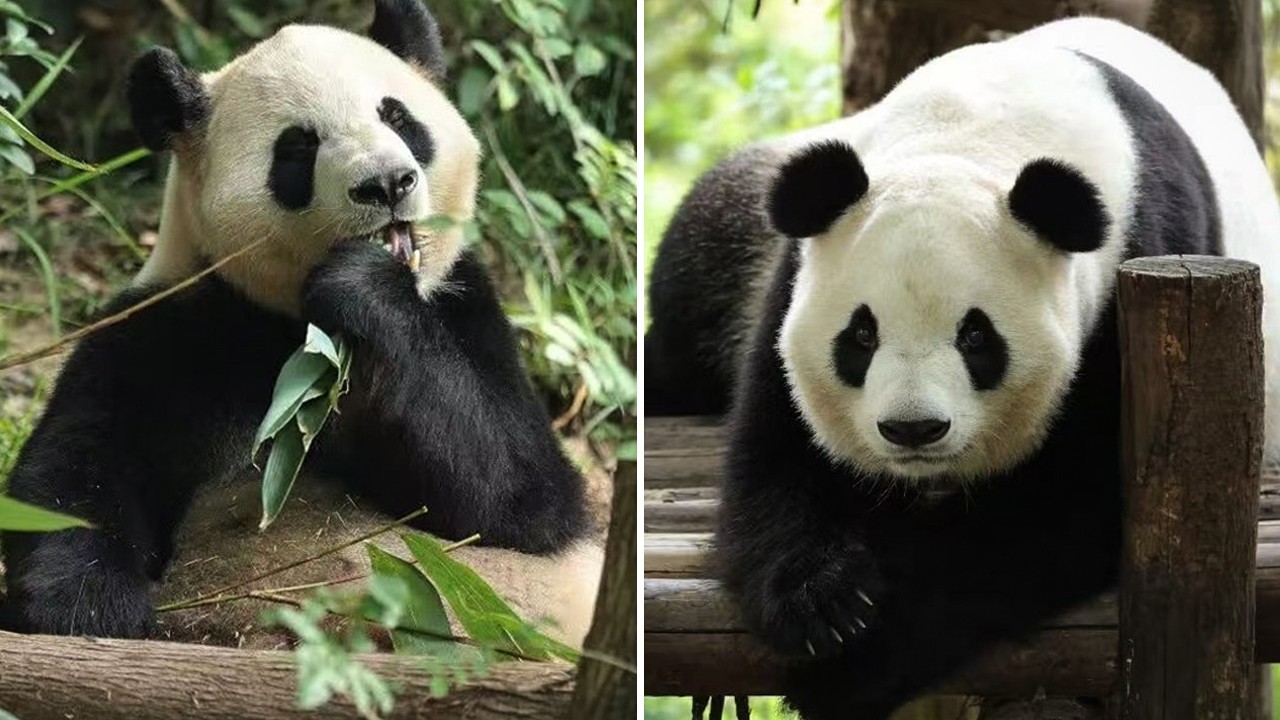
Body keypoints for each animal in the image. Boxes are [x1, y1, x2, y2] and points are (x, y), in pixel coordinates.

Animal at [3, 0, 603, 643]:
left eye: (397, 116)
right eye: (297, 147)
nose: (387, 183)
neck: (298, 332)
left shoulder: (461, 304)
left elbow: (520, 497)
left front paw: (363, 285)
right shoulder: (173, 325)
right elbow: (77, 471)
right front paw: (91, 610)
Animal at [646, 17, 1280, 719]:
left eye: (976, 337)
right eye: (860, 334)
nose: (913, 430)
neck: (968, 138)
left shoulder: (1134, 272)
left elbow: (1056, 515)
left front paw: (848, 669)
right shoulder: (796, 270)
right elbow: (777, 451)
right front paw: (822, 604)